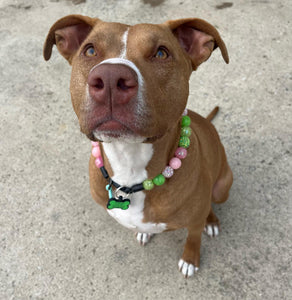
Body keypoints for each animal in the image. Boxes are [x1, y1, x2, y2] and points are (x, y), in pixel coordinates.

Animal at [43, 13, 234, 276]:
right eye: (90, 50)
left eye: (161, 53)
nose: (110, 78)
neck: (129, 162)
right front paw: (145, 232)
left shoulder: (194, 221)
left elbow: (193, 238)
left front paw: (190, 259)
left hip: (222, 187)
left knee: (212, 205)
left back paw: (212, 221)